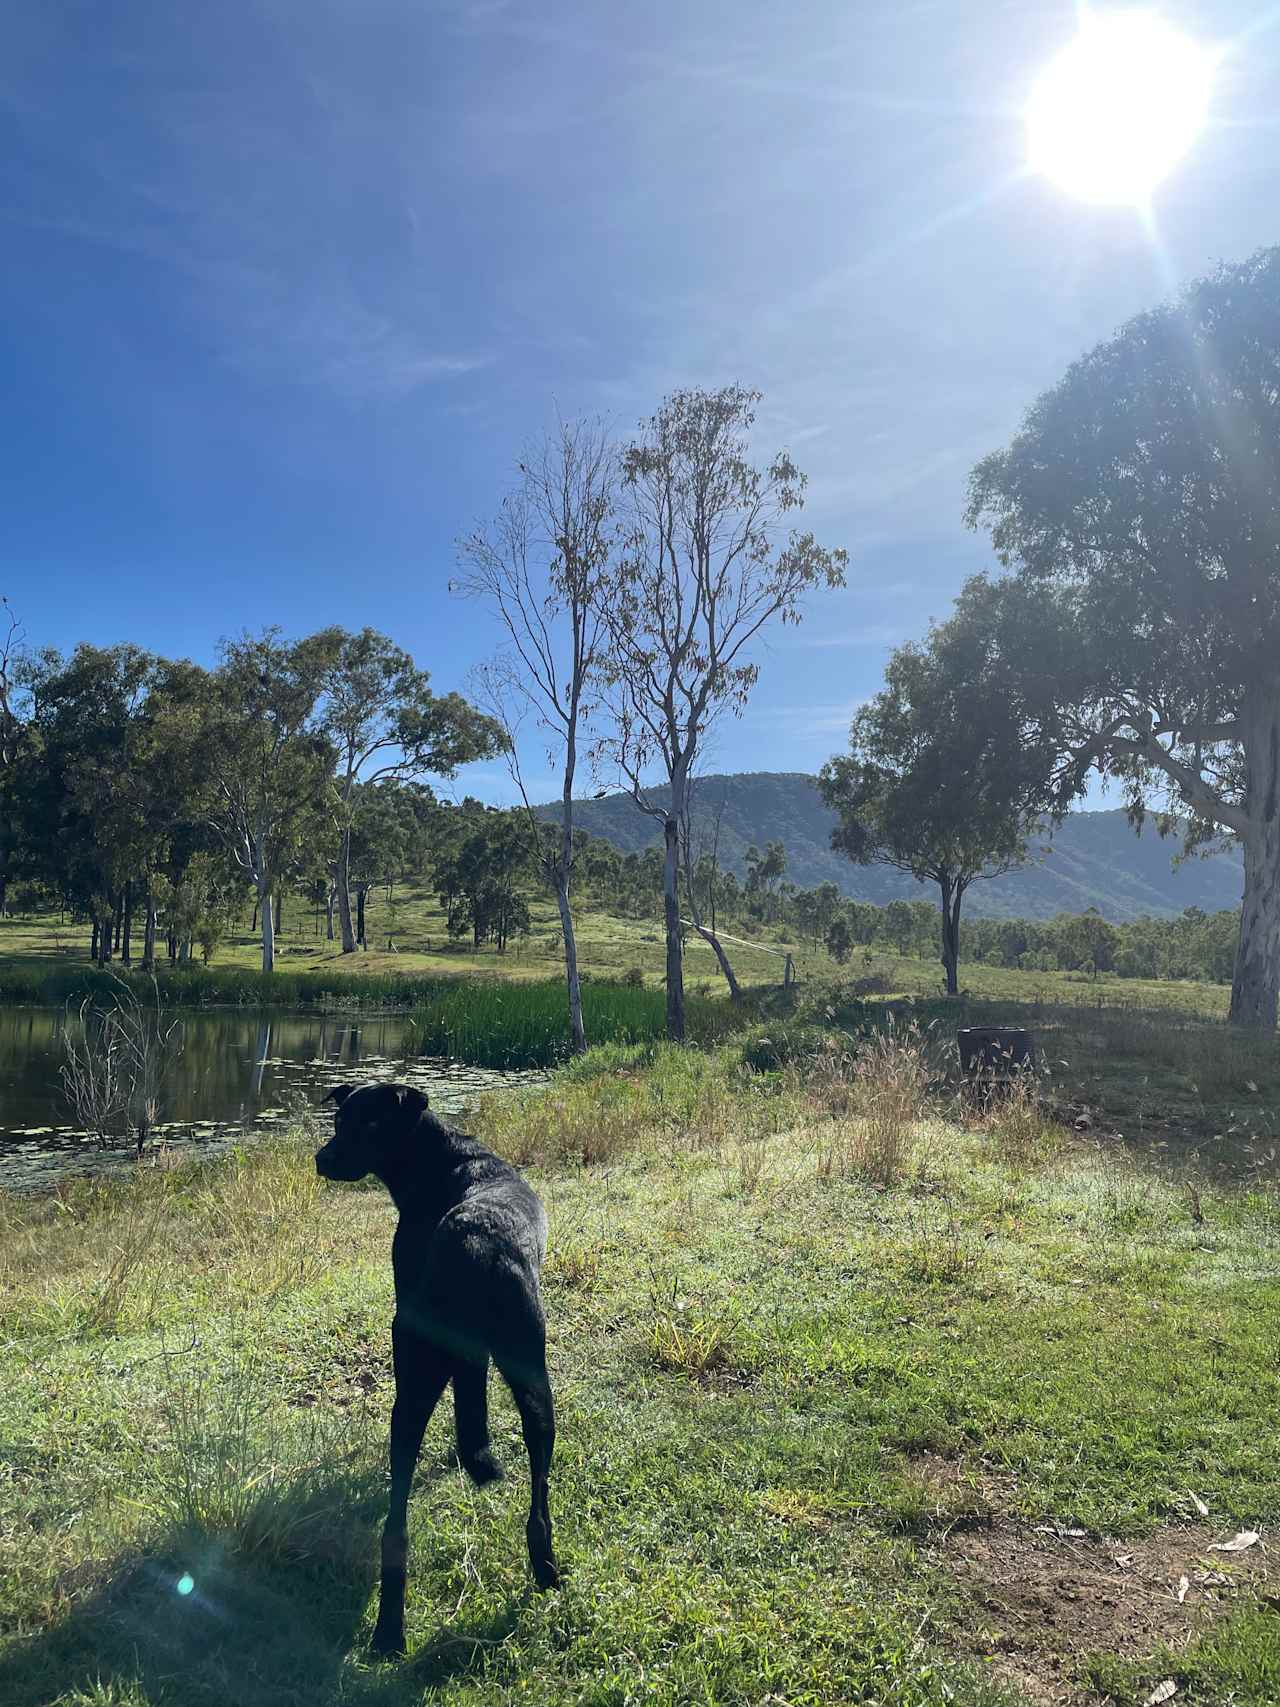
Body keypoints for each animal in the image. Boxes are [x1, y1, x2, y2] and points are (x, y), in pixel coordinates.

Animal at [314, 1078, 556, 1652]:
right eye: (338, 1122)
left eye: (367, 1123)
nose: (321, 1159)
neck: (440, 1158)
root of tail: (474, 1241)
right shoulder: (474, 1360)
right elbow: (473, 1416)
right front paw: (481, 1463)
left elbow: (469, 1420)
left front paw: (477, 1462)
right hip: (531, 1375)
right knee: (537, 1487)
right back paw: (542, 1566)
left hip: (421, 1380)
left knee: (397, 1519)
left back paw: (389, 1628)